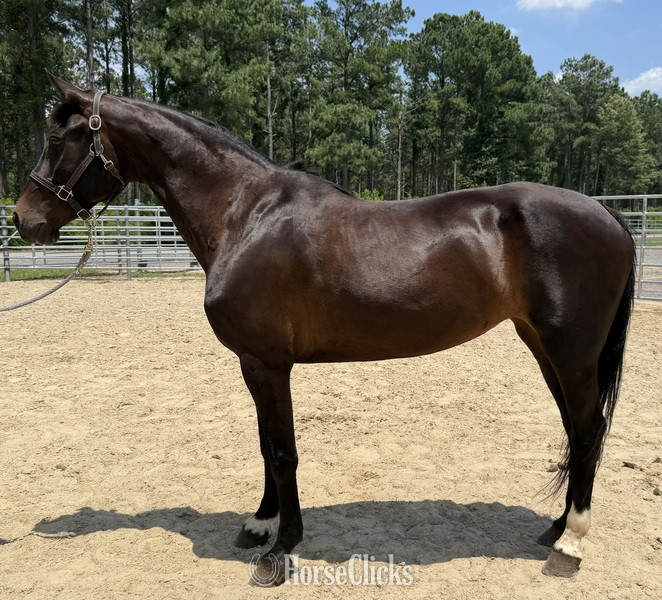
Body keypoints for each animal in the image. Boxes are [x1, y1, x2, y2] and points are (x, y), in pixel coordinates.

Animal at [14, 76, 635, 584]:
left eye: (58, 139)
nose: (24, 220)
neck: (245, 214)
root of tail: (607, 213)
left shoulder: (268, 363)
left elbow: (283, 450)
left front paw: (280, 550)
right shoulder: (255, 363)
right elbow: (265, 444)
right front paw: (260, 526)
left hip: (571, 351)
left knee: (587, 430)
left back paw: (570, 545)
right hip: (545, 348)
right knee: (578, 430)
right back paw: (555, 529)